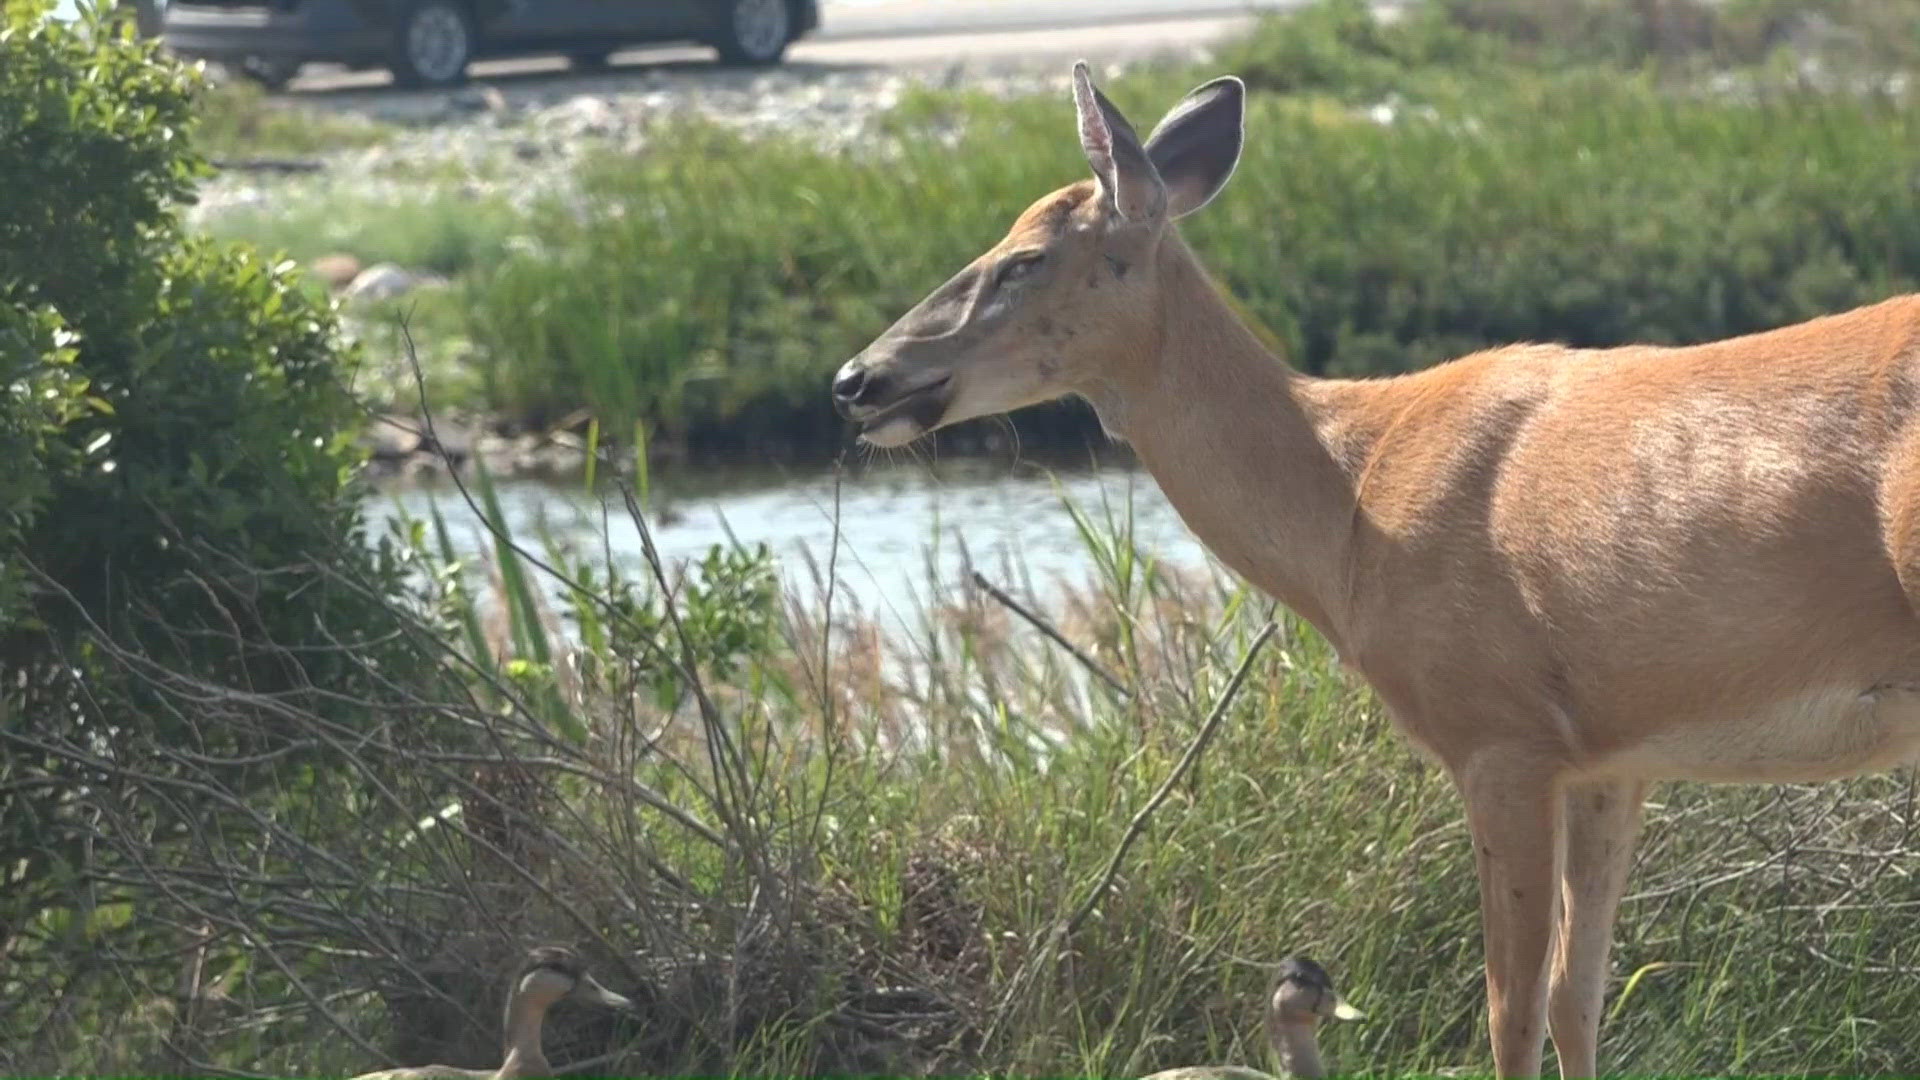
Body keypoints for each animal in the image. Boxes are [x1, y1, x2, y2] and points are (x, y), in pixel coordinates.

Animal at [829, 61, 1920, 1079]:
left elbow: (1510, 1009)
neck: (1350, 505)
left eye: (1023, 260)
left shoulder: (1498, 732)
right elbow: (1580, 996)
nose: (857, 380)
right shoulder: (1613, 757)